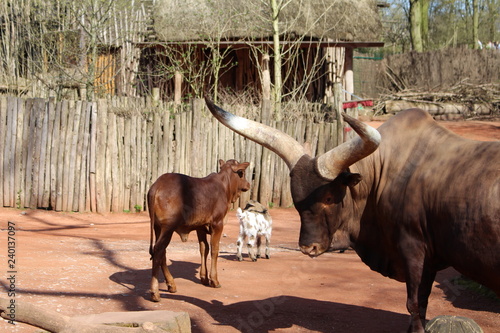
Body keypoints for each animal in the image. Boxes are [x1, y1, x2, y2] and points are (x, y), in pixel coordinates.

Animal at [147, 158, 250, 300]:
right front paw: (214, 280)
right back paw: (155, 292)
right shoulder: (218, 224)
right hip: (168, 228)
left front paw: (204, 278)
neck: (225, 186)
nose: (248, 184)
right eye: (242, 173)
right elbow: (214, 250)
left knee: (162, 252)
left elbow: (203, 249)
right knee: (158, 251)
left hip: (157, 228)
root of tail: (157, 186)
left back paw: (171, 285)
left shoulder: (200, 228)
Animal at [205, 96, 498, 332]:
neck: (385, 174)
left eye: (329, 198)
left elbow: (415, 305)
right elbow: (422, 305)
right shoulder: (427, 261)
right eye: (296, 200)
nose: (308, 248)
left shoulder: (414, 251)